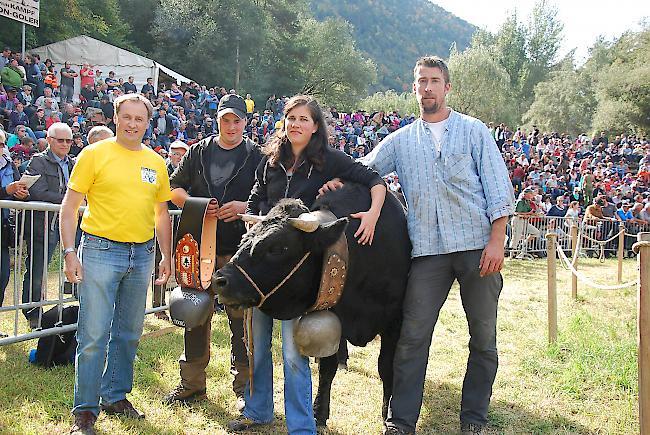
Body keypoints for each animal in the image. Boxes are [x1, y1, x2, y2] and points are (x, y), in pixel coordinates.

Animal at [213, 183, 408, 426]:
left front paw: (387, 414)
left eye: (277, 248)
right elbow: (327, 369)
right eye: (245, 238)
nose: (219, 280)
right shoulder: (334, 314)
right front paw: (319, 412)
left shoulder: (395, 323)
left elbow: (387, 367)